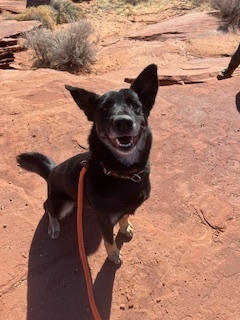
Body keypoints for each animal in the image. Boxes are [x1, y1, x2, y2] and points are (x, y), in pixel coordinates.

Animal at [17, 63, 159, 264]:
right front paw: (114, 255)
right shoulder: (105, 221)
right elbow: (109, 241)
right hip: (62, 203)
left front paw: (125, 227)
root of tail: (52, 170)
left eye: (135, 106)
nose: (123, 122)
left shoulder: (125, 210)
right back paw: (54, 226)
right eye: (104, 109)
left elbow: (123, 217)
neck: (122, 173)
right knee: (47, 206)